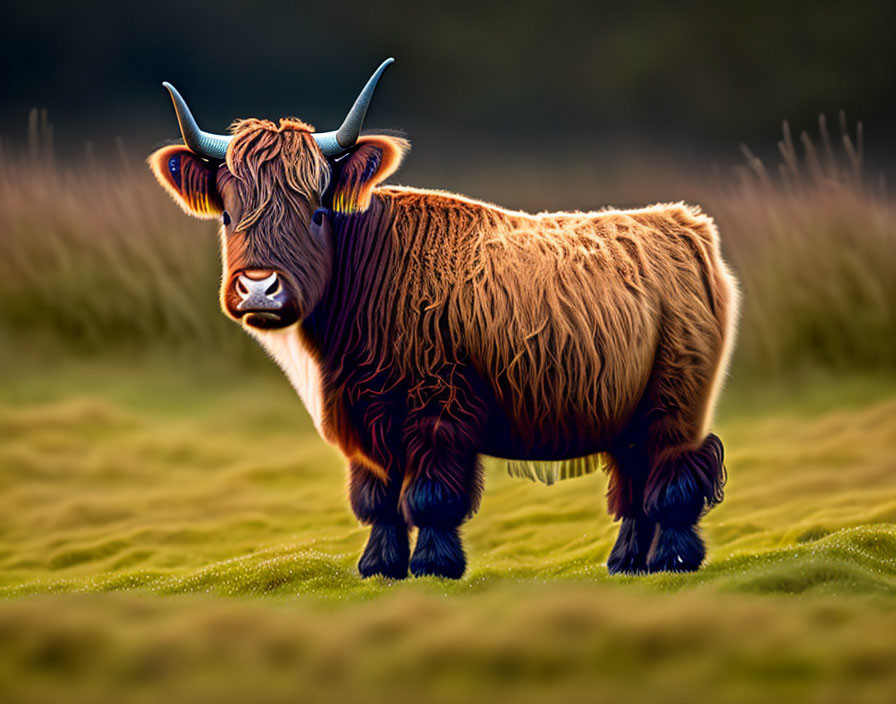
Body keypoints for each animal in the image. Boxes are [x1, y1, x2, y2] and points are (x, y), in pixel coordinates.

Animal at [149, 59, 736, 576]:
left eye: (315, 211)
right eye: (227, 214)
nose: (259, 288)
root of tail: (681, 221)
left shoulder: (440, 407)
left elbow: (429, 496)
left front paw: (435, 565)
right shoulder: (362, 416)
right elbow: (377, 498)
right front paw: (379, 567)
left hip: (674, 398)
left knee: (673, 475)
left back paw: (673, 559)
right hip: (624, 405)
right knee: (633, 481)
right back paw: (627, 561)